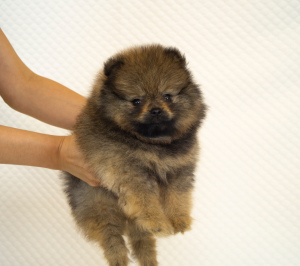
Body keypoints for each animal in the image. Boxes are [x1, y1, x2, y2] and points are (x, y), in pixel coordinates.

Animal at [63, 44, 206, 264]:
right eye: (136, 101)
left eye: (167, 96)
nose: (155, 110)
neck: (153, 142)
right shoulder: (130, 171)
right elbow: (145, 200)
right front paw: (158, 222)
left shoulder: (179, 169)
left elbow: (178, 196)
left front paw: (179, 220)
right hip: (97, 203)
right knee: (110, 235)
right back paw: (119, 258)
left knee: (142, 239)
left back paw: (149, 260)